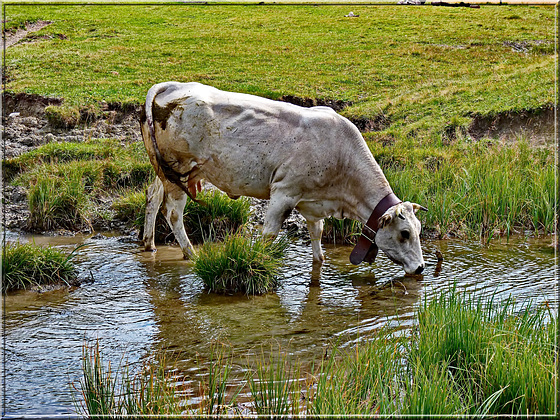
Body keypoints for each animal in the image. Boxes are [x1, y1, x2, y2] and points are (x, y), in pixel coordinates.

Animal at [141, 82, 428, 276]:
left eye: (419, 230)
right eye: (404, 233)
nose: (421, 268)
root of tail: (173, 85)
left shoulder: (313, 203)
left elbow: (317, 233)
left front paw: (320, 262)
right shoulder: (284, 192)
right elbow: (269, 234)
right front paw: (259, 261)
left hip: (164, 171)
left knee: (152, 198)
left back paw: (149, 243)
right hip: (178, 170)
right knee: (173, 214)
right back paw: (191, 253)